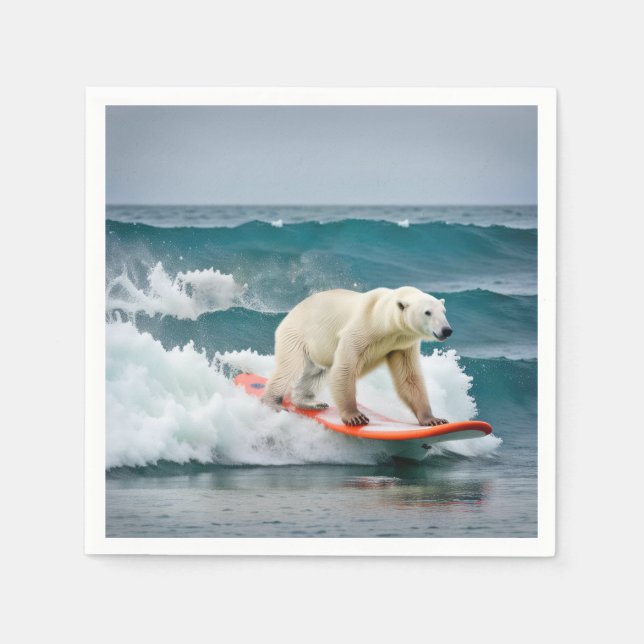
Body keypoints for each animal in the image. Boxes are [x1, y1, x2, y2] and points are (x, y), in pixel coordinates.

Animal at [261, 286, 453, 426]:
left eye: (444, 311)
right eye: (427, 312)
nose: (447, 330)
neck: (384, 320)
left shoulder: (402, 344)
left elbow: (409, 377)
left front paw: (433, 419)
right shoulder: (361, 330)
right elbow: (345, 367)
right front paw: (355, 416)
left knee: (318, 373)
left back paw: (310, 402)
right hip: (297, 335)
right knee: (289, 368)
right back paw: (272, 402)